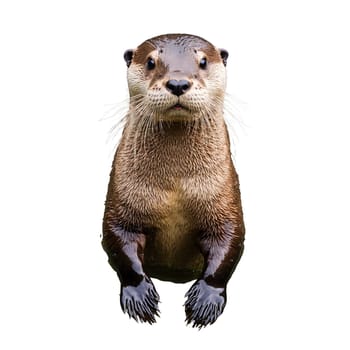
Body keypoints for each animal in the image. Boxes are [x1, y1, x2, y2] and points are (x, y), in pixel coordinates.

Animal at [100, 33, 243, 328]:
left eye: (203, 61)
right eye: (151, 61)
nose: (178, 83)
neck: (175, 185)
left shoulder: (224, 201)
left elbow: (228, 242)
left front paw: (206, 300)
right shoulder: (121, 203)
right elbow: (118, 240)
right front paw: (139, 296)